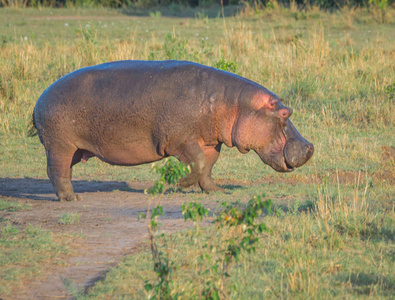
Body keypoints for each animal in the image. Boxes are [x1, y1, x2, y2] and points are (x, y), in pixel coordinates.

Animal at [31, 60, 314, 202]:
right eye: (285, 114)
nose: (310, 147)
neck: (232, 103)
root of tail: (40, 98)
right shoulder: (180, 140)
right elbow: (198, 163)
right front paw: (175, 185)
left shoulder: (210, 142)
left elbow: (208, 166)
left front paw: (216, 191)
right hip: (60, 144)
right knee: (56, 169)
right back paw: (72, 199)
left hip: (75, 149)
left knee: (61, 170)